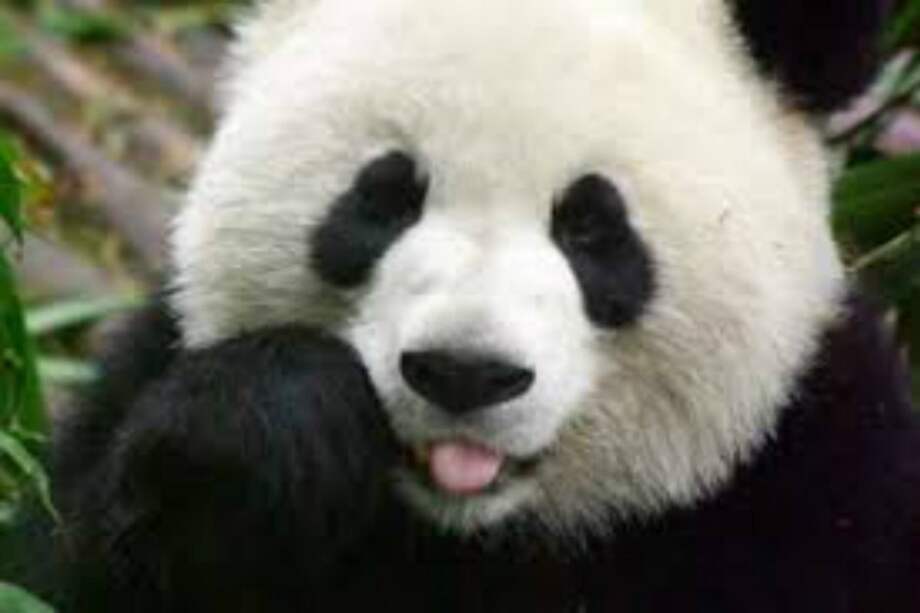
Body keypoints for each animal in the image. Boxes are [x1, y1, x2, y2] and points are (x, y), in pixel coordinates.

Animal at [20, 0, 920, 611]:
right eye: (385, 196)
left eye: (590, 226)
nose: (464, 372)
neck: (472, 534)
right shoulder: (143, 373)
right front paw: (274, 426)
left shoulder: (820, 487)